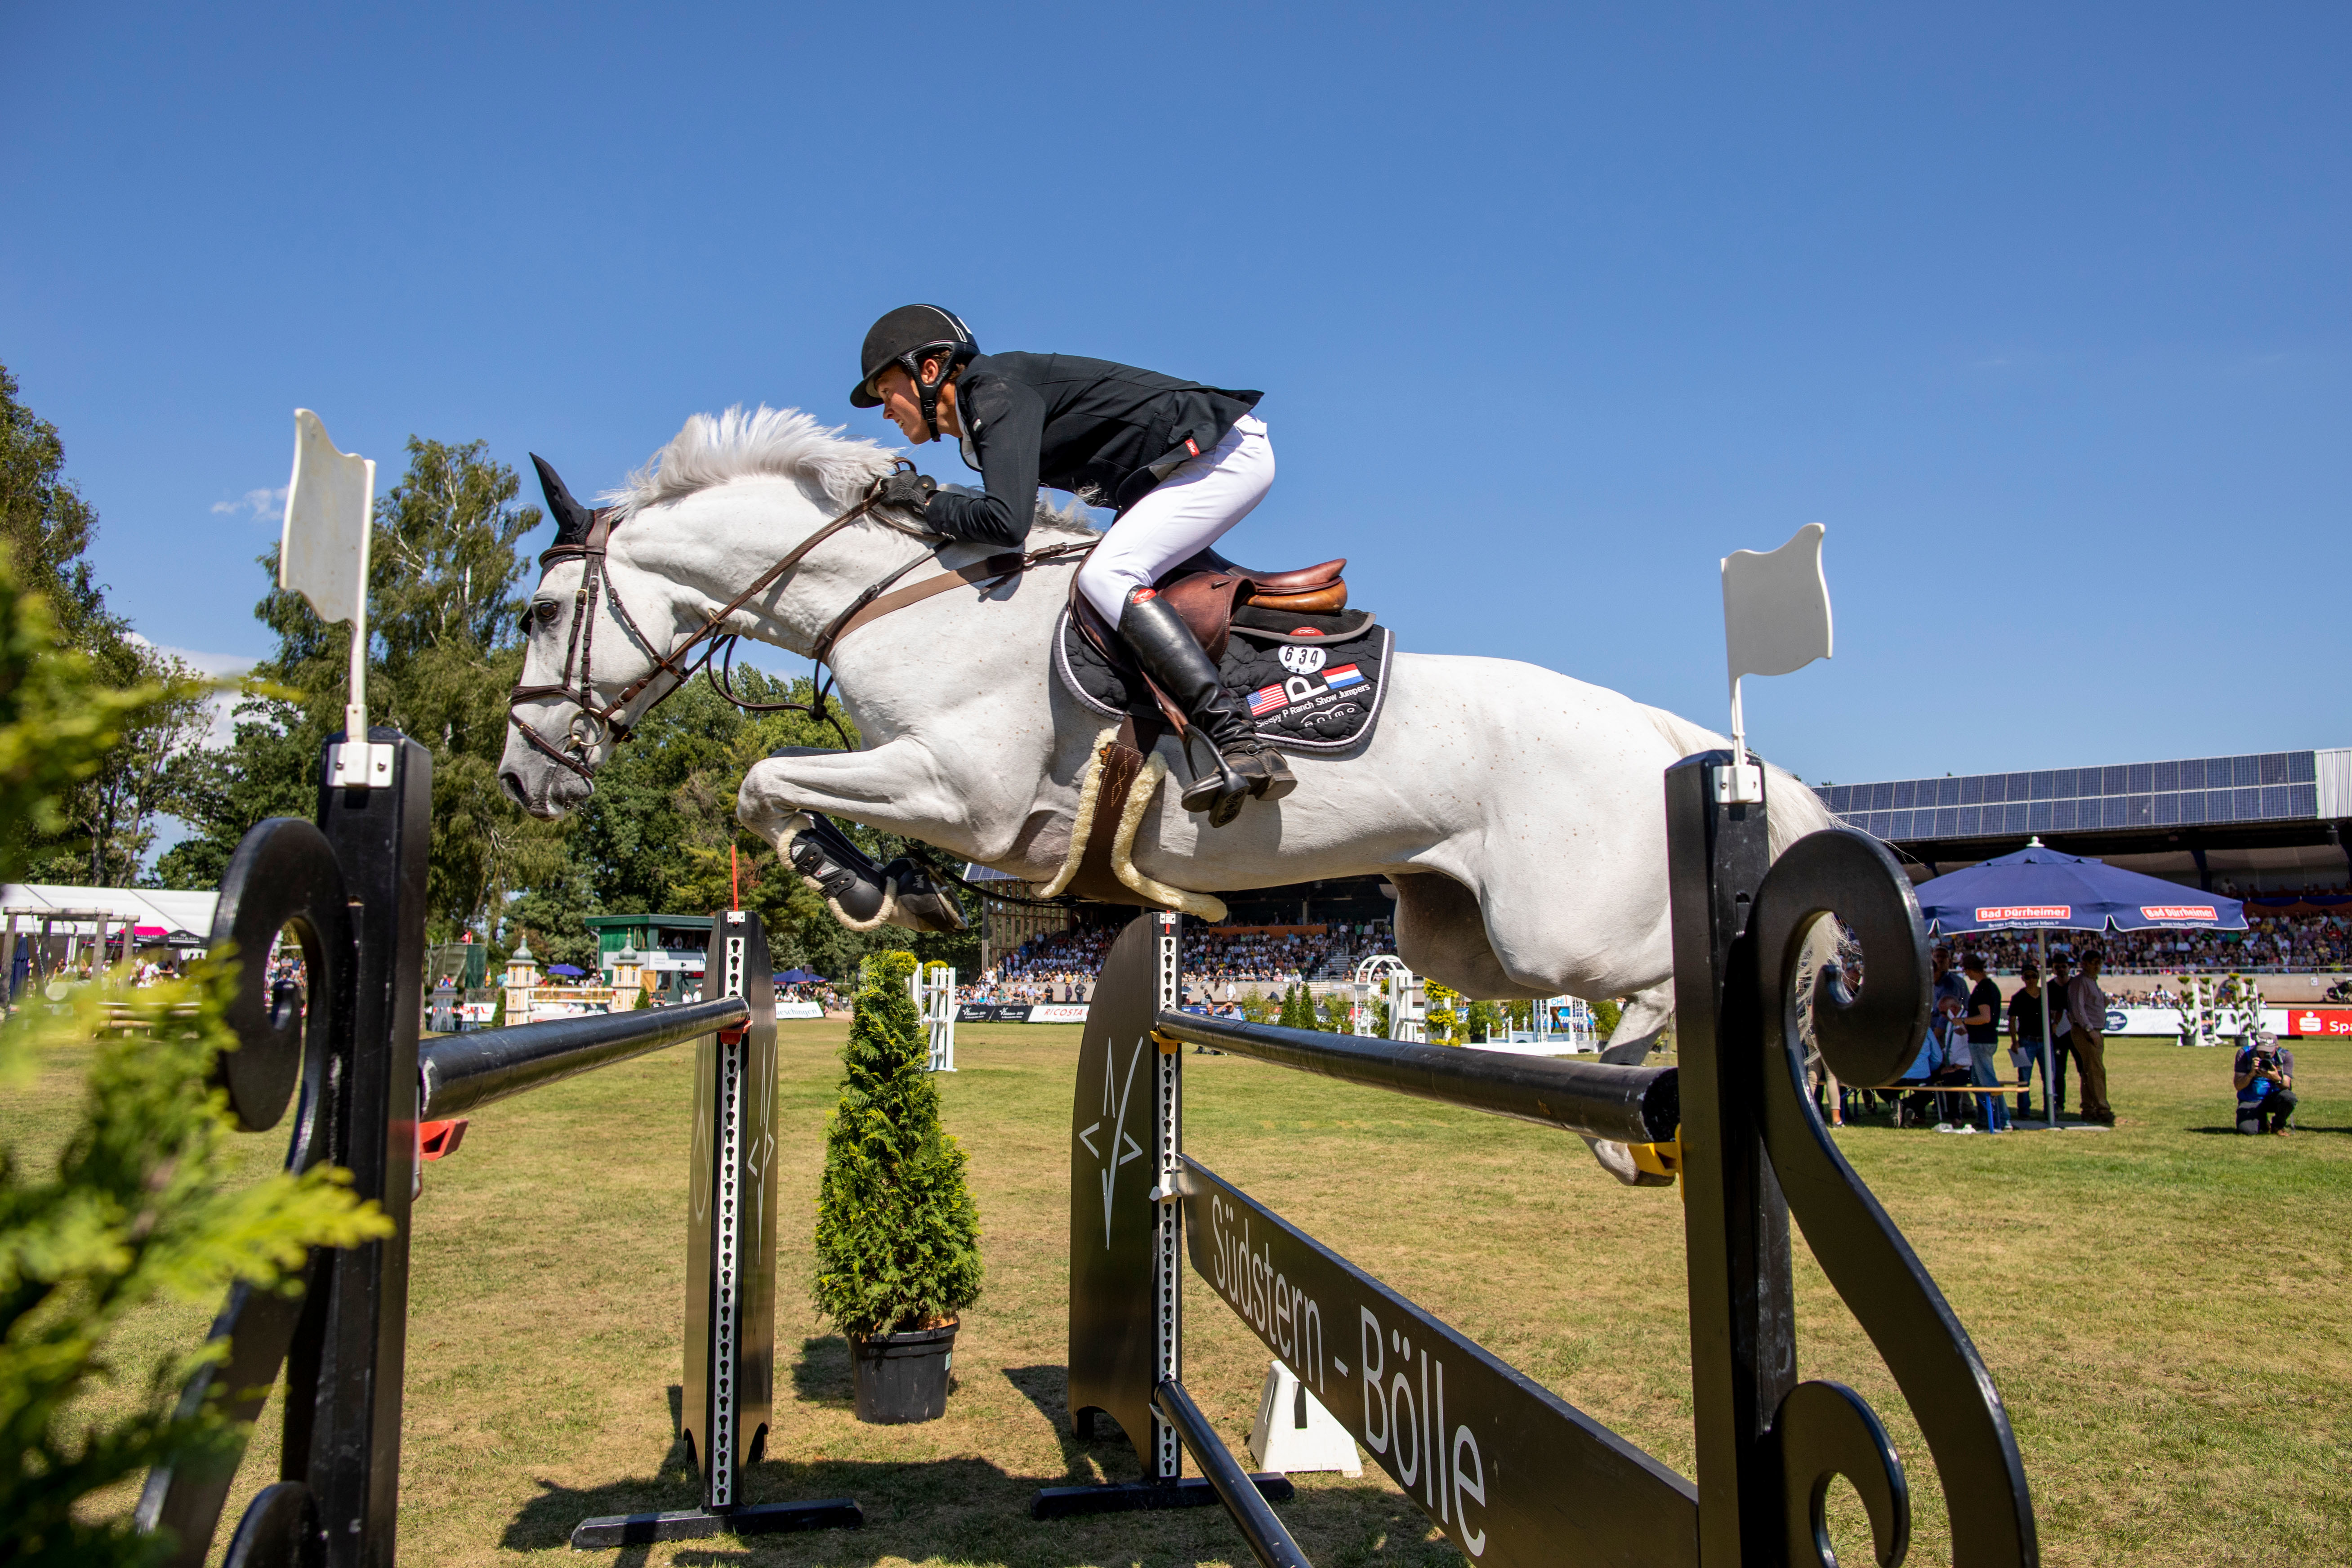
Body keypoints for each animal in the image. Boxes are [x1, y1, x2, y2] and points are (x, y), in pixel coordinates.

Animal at [496, 404, 1834, 1072]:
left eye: (543, 613)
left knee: (1680, 975)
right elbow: (777, 787)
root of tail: (1660, 726)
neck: (900, 599)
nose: (521, 778)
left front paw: (860, 884)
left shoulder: (963, 793)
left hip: (1562, 929)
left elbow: (765, 778)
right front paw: (895, 890)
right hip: (1460, 940)